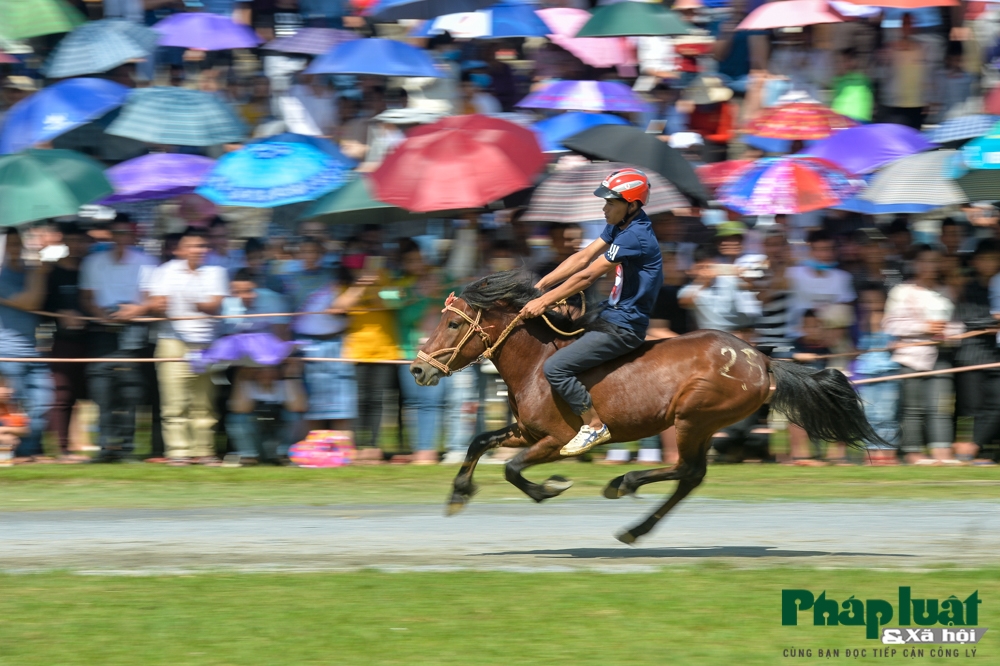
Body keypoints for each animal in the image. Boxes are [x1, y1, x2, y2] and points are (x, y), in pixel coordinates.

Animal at [410, 272, 880, 544]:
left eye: (453, 323)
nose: (417, 368)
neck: (538, 363)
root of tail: (762, 360)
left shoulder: (557, 439)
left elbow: (511, 469)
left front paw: (551, 487)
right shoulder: (525, 430)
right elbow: (478, 441)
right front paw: (458, 494)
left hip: (693, 417)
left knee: (688, 470)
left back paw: (626, 483)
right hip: (700, 424)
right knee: (691, 476)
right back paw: (636, 524)